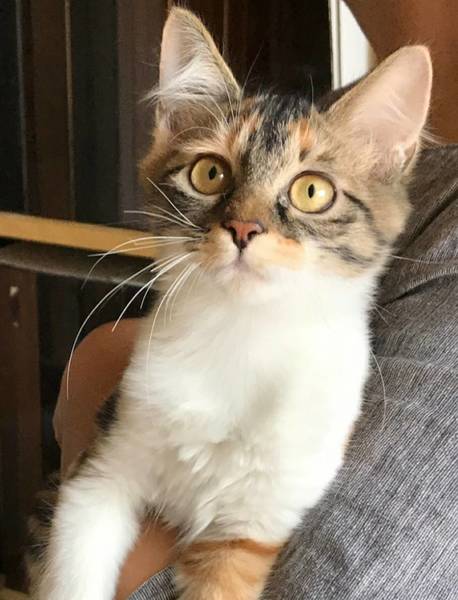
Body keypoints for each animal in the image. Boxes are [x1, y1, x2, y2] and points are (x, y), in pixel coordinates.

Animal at [27, 7, 432, 600]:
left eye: (312, 191)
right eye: (209, 173)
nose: (243, 228)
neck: (240, 334)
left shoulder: (250, 524)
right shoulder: (101, 468)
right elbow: (74, 574)